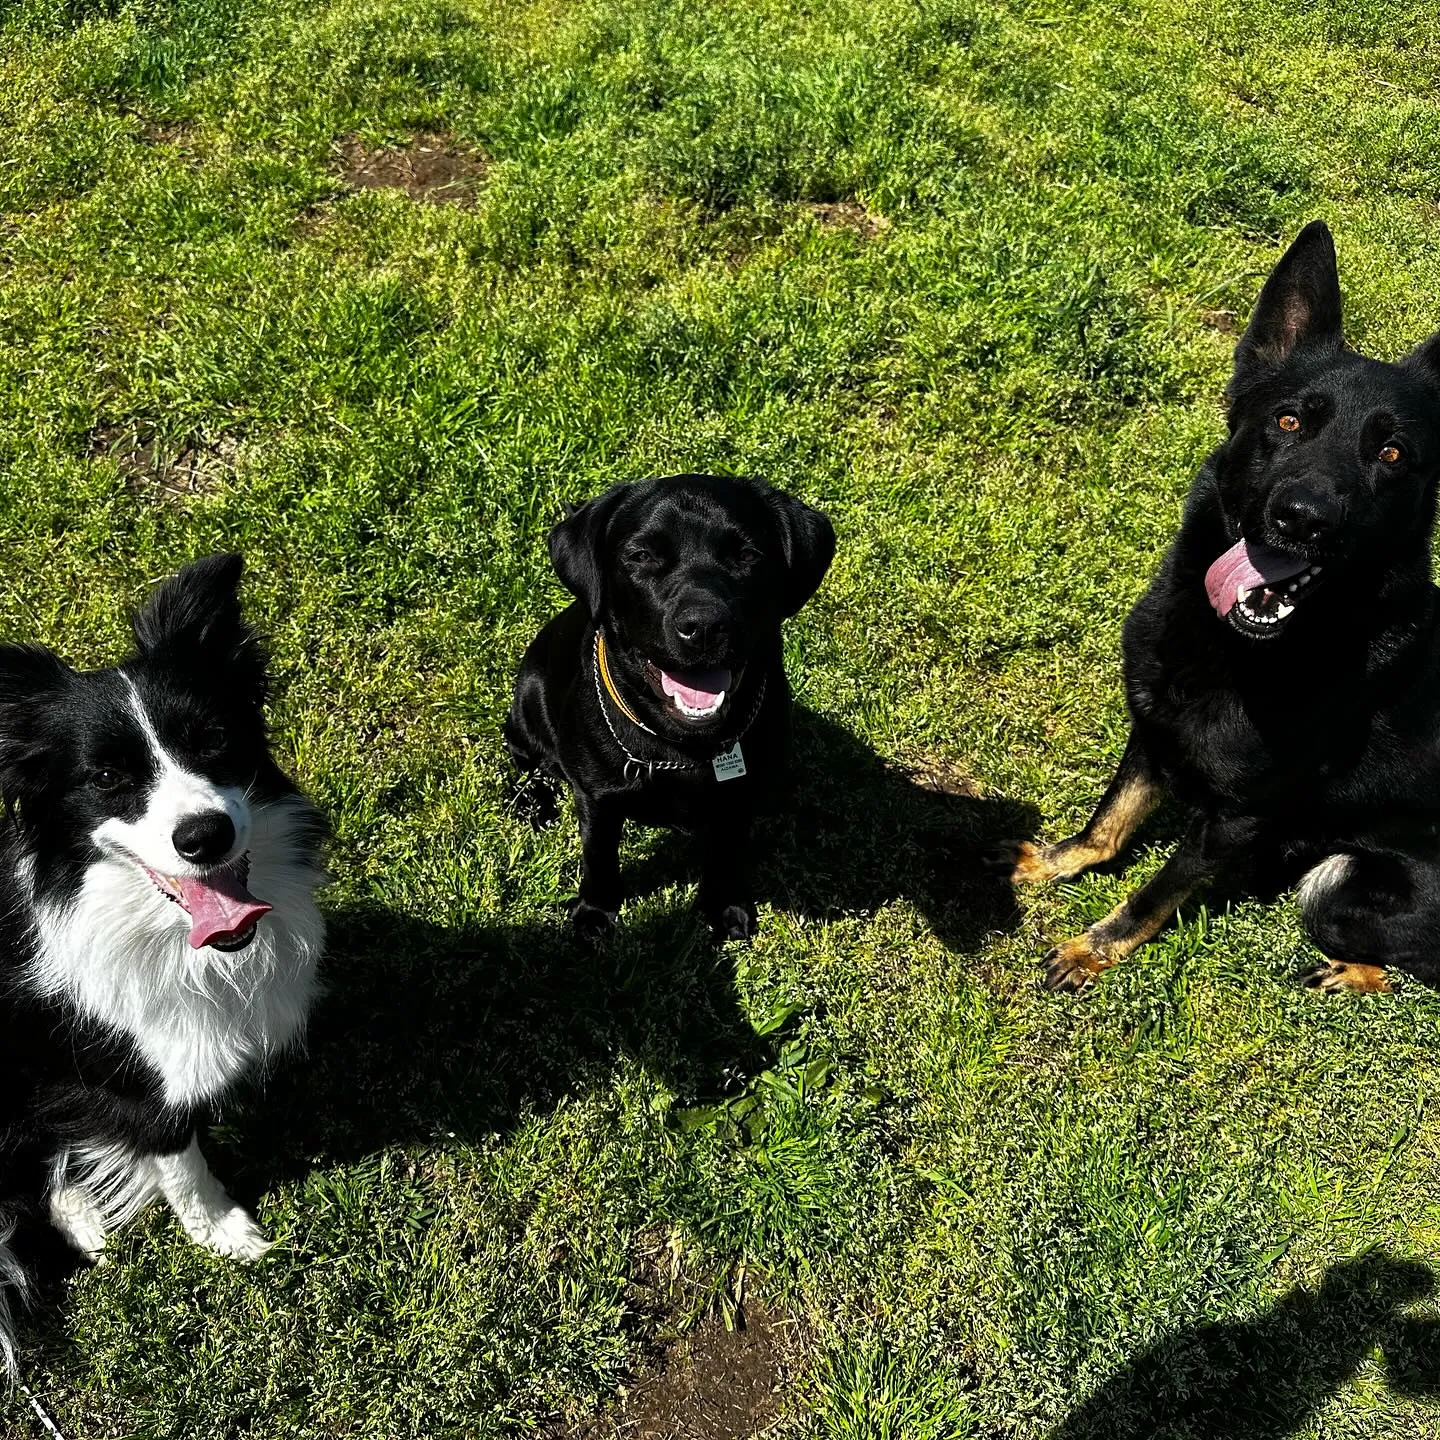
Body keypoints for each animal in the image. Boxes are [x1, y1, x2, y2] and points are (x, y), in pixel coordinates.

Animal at [0, 550, 324, 1370]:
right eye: (107, 778)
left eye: (211, 741)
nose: (204, 836)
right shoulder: (137, 1081)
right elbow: (180, 1157)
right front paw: (228, 1234)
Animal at [506, 475, 835, 944]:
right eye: (642, 556)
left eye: (748, 555)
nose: (704, 627)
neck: (683, 746)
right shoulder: (597, 798)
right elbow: (599, 858)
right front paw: (595, 914)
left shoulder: (739, 796)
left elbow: (727, 852)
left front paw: (725, 907)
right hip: (528, 701)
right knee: (525, 759)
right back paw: (530, 803)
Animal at [1002, 218, 1440, 996]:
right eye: (1288, 422)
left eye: (1391, 454)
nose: (1303, 520)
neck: (1233, 645)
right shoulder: (1153, 732)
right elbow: (1110, 819)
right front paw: (1059, 861)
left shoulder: (1236, 819)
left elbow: (1155, 892)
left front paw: (1094, 948)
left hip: (1335, 881)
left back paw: (1351, 974)